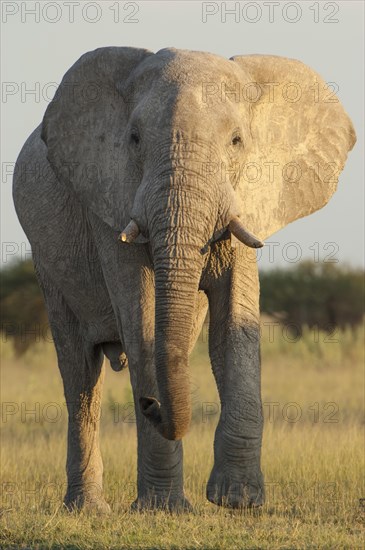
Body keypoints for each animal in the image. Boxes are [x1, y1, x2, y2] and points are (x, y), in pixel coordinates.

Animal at [12, 46, 356, 512]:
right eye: (134, 139)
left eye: (236, 141)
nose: (149, 403)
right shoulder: (110, 197)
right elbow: (141, 318)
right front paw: (163, 510)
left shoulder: (246, 200)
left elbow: (235, 322)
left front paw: (238, 501)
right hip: (48, 266)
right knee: (79, 374)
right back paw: (87, 509)